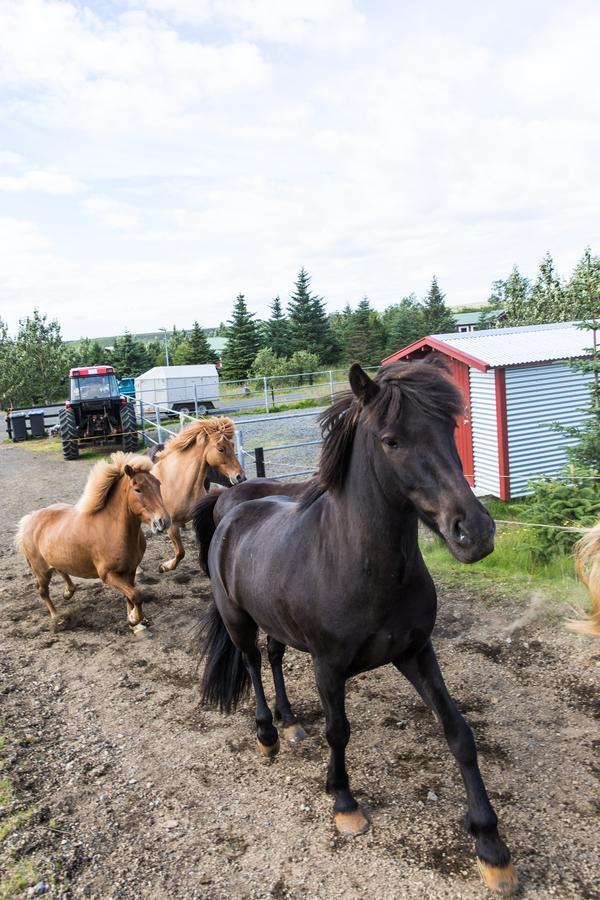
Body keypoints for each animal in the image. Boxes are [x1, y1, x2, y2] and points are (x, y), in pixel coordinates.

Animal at [16, 450, 170, 632]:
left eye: (158, 484)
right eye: (138, 489)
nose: (163, 521)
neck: (112, 530)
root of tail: (28, 520)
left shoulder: (130, 569)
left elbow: (130, 596)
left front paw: (134, 620)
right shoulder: (108, 574)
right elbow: (135, 595)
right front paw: (134, 620)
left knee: (61, 571)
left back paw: (68, 592)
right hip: (41, 570)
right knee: (42, 591)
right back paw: (56, 617)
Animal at [151, 418, 245, 572]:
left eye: (232, 445)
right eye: (221, 449)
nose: (240, 477)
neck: (177, 482)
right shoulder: (172, 526)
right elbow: (180, 552)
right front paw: (165, 566)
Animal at [195, 362, 516, 896]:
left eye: (449, 429)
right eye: (391, 440)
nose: (474, 531)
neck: (357, 563)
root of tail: (231, 508)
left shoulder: (416, 652)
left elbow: (457, 730)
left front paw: (491, 846)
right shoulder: (329, 666)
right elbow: (339, 731)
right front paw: (344, 803)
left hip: (277, 624)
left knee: (275, 658)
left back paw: (290, 721)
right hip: (239, 621)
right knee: (253, 664)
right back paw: (267, 734)